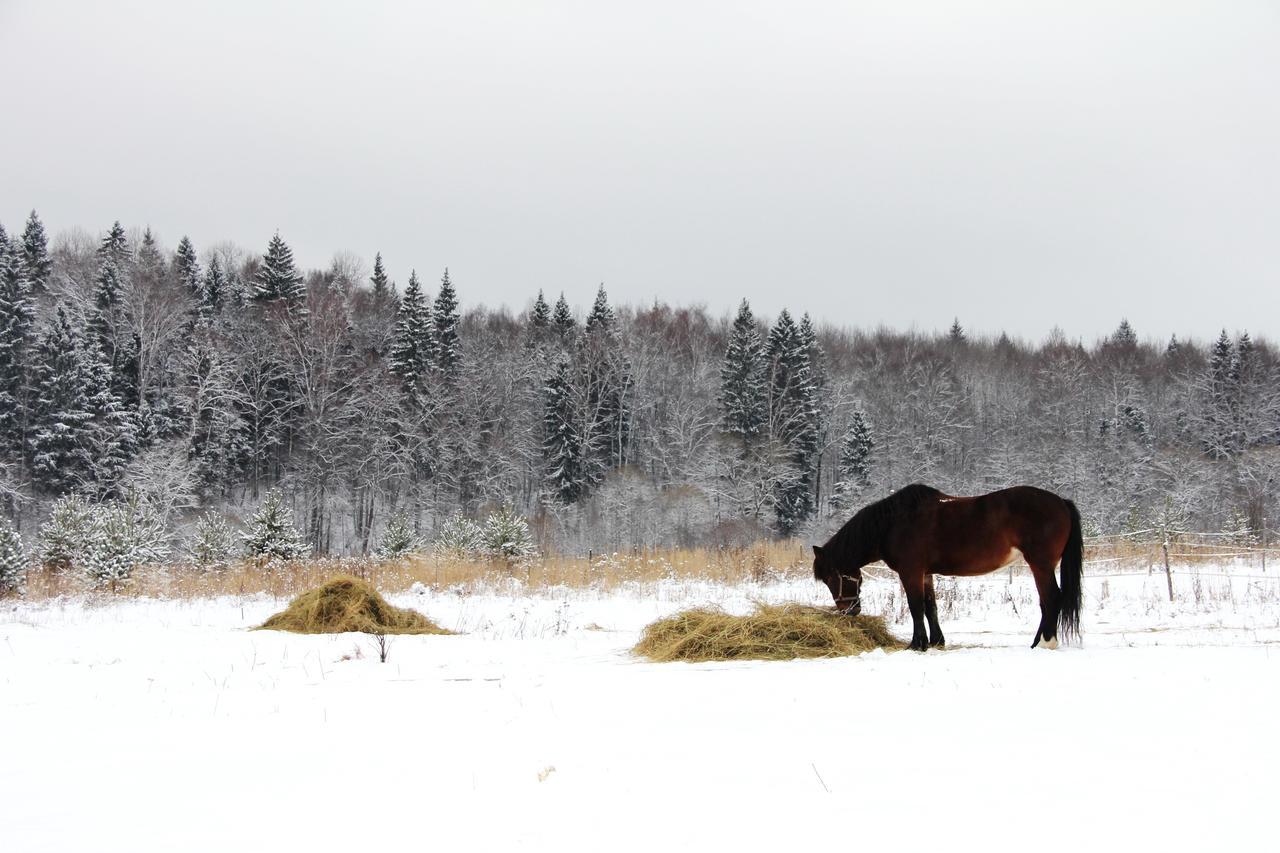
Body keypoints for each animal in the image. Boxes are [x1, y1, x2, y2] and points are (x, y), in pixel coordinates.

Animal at [808, 481, 1080, 648]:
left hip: (1040, 564)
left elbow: (916, 606)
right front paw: (936, 641)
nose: (849, 611)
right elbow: (931, 607)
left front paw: (917, 644)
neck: (893, 524)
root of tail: (1061, 502)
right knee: (1046, 603)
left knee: (1051, 598)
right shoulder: (925, 574)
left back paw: (1045, 642)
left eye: (831, 578)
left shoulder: (911, 572)